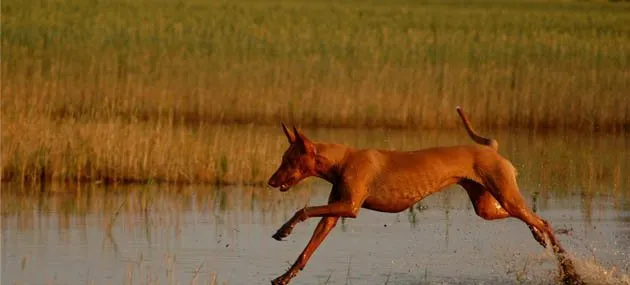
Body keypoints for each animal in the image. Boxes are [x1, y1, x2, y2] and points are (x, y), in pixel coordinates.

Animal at [266, 106, 584, 284]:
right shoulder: (334, 213)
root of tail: (490, 148)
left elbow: (304, 210)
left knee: (543, 221)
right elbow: (306, 251)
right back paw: (541, 240)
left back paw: (569, 269)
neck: (342, 160)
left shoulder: (349, 207)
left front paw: (284, 229)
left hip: (506, 196)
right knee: (535, 219)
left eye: (288, 160)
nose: (270, 181)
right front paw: (284, 276)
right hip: (488, 207)